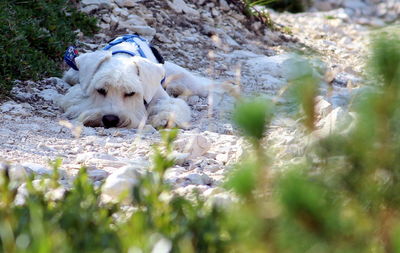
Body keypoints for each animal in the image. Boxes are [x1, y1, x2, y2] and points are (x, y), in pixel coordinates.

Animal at [59, 34, 211, 128]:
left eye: (130, 93)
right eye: (101, 90)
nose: (110, 120)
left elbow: (170, 105)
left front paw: (165, 119)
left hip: (188, 81)